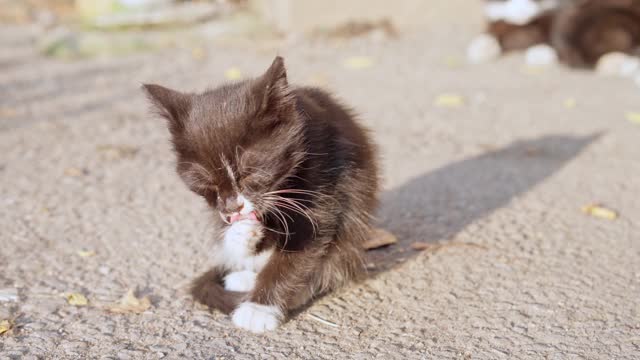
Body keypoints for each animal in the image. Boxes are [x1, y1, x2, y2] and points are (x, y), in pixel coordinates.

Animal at [142, 57, 378, 334]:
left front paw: (259, 308)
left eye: (250, 173)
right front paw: (241, 234)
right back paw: (243, 275)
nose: (233, 207)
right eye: (205, 183)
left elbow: (301, 249)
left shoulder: (325, 183)